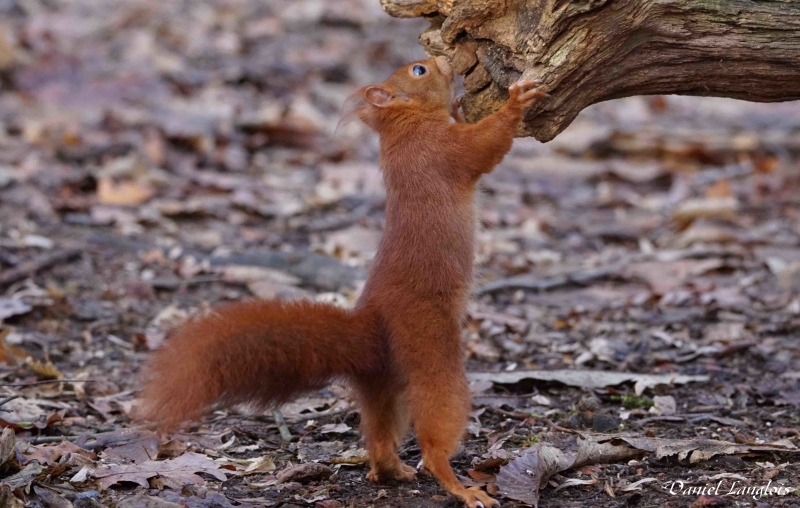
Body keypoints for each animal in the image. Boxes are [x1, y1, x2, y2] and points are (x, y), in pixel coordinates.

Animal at [139, 55, 552, 508]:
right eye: (419, 70)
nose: (444, 60)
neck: (403, 125)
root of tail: (373, 324)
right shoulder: (442, 152)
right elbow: (484, 146)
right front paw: (516, 101)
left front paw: (462, 104)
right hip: (432, 352)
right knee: (434, 432)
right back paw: (458, 485)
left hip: (383, 382)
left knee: (378, 430)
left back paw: (388, 469)